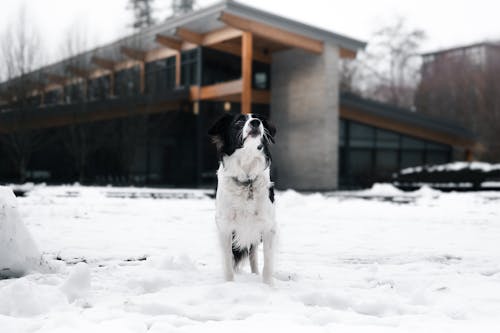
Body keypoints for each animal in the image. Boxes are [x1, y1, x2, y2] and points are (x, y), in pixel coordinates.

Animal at [207, 113, 278, 284]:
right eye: (238, 122)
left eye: (259, 119)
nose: (256, 122)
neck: (246, 180)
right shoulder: (225, 228)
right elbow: (228, 262)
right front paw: (229, 284)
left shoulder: (268, 226)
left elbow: (268, 262)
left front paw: (268, 285)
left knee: (254, 256)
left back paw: (255, 275)